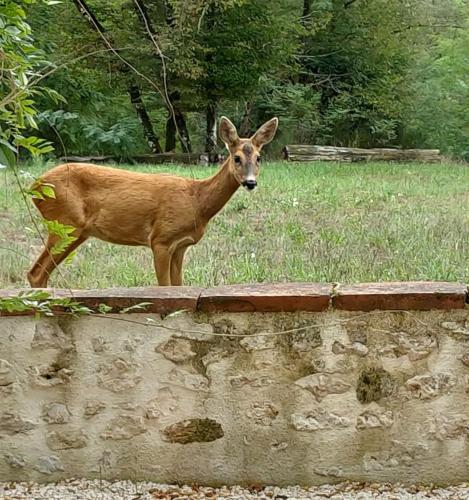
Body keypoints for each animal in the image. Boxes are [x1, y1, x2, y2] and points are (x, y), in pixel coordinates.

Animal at [27, 115, 276, 288]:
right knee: (35, 273)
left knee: (40, 274)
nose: (251, 182)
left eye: (258, 158)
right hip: (65, 223)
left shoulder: (180, 245)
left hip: (75, 231)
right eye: (237, 158)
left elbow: (178, 286)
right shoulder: (160, 239)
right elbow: (163, 287)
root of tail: (34, 187)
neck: (196, 201)